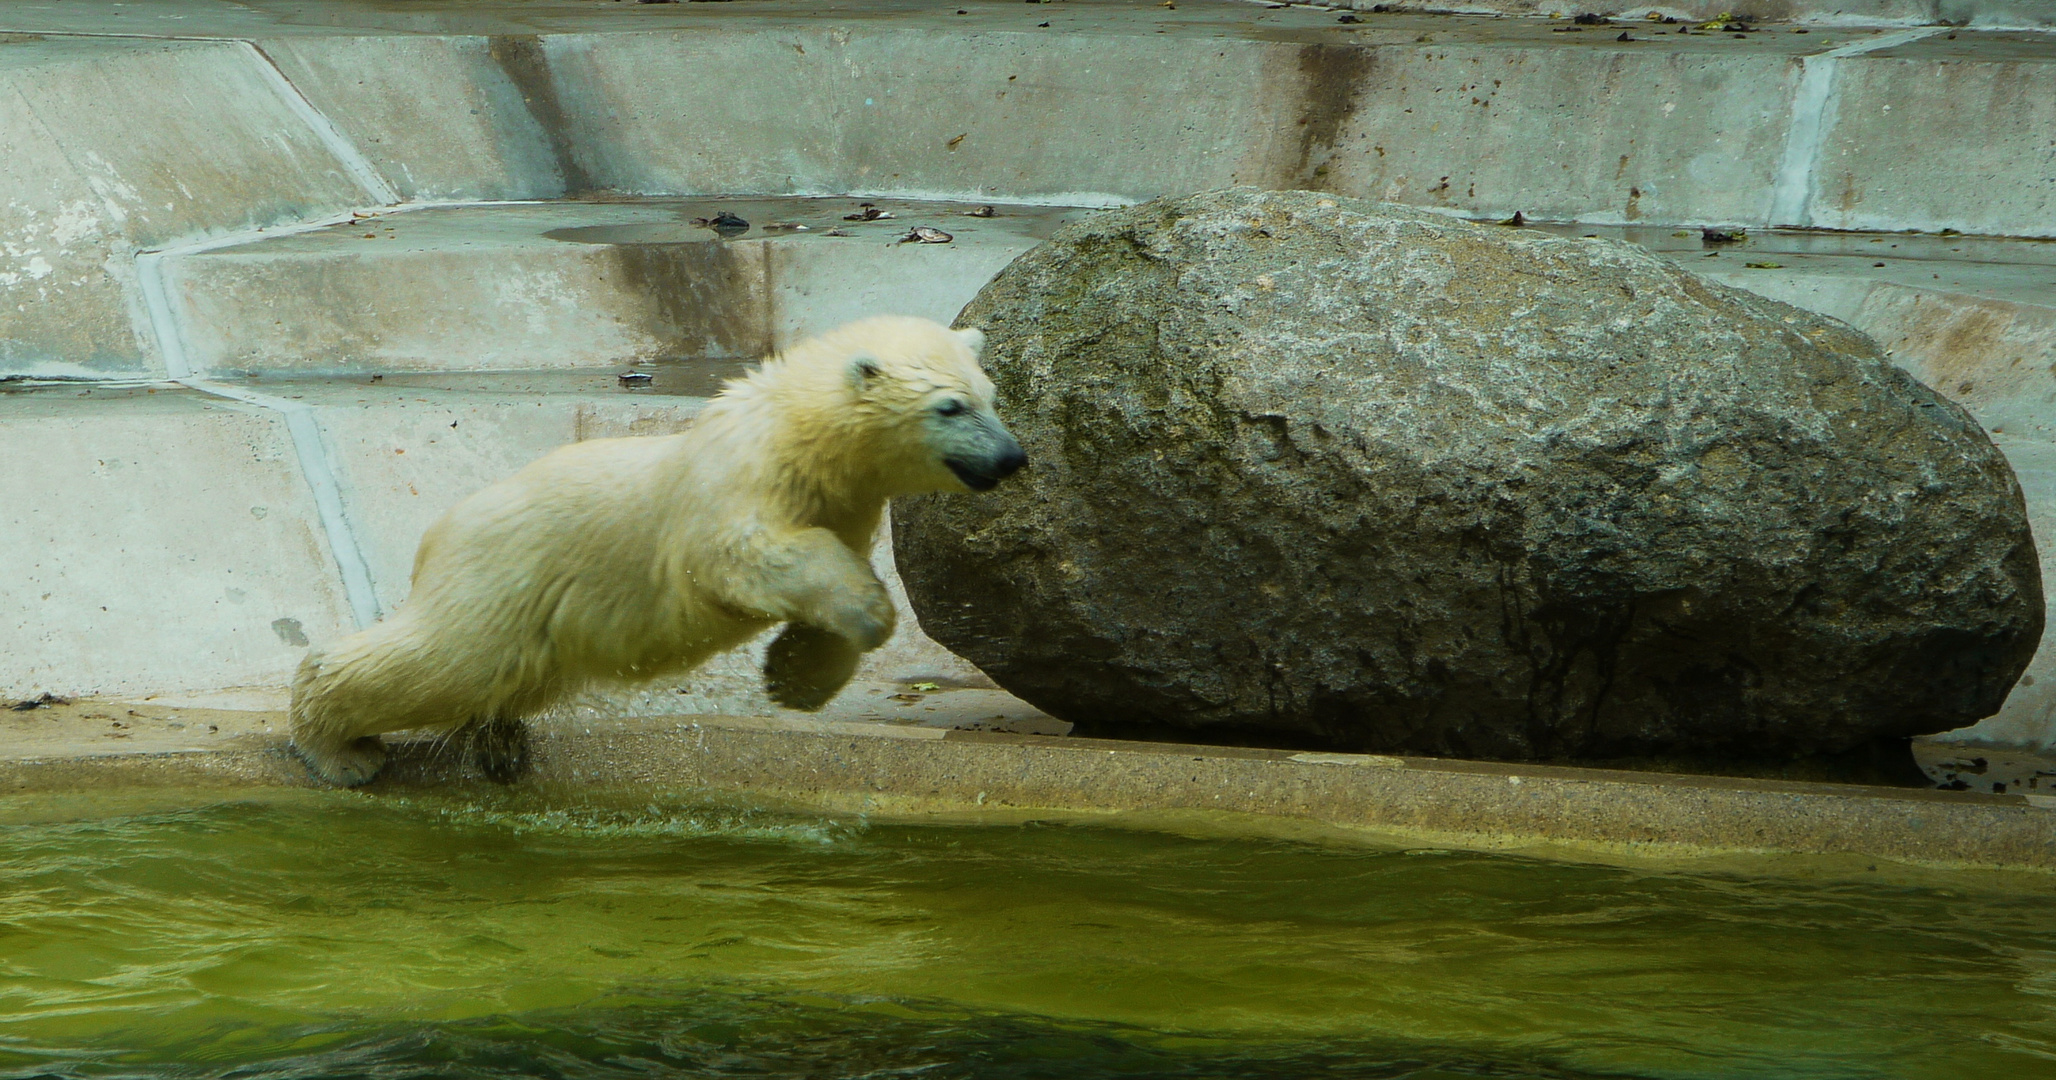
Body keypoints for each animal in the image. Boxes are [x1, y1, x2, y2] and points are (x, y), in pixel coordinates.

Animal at [289, 310, 1028, 781]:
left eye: (991, 395)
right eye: (950, 407)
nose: (1013, 457)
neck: (797, 435)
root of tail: (438, 531)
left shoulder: (846, 504)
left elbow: (828, 585)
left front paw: (791, 675)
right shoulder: (737, 488)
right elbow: (745, 556)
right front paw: (868, 615)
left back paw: (498, 746)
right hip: (502, 581)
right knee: (439, 661)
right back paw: (339, 751)